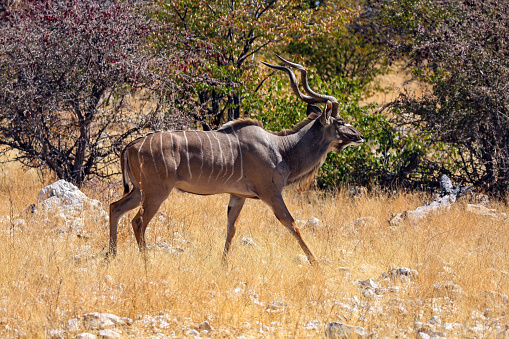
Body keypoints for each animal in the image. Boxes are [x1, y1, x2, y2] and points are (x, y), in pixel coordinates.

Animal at [109, 55, 364, 266]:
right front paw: (315, 263)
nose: (359, 136)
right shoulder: (271, 194)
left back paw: (110, 257)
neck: (282, 149)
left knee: (115, 208)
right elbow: (292, 224)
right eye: (340, 121)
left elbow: (231, 228)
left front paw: (224, 264)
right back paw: (146, 263)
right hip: (157, 192)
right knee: (138, 221)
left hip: (139, 191)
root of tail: (131, 146)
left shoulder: (238, 196)